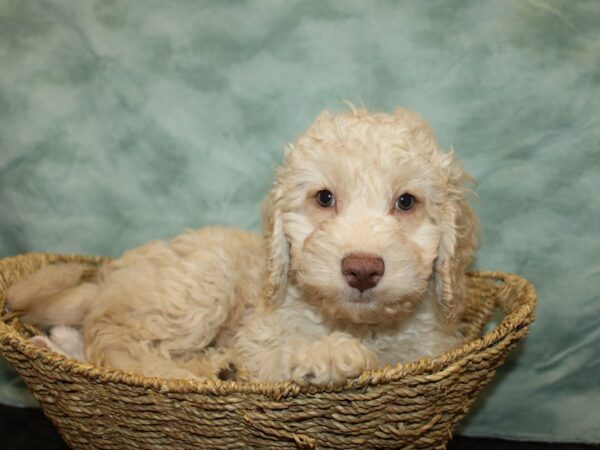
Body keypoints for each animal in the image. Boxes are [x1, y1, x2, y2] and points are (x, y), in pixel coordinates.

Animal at [7, 107, 478, 384]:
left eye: (406, 202)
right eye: (324, 198)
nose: (362, 268)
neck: (362, 325)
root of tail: (108, 280)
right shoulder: (260, 339)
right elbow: (274, 358)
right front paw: (330, 356)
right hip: (201, 284)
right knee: (111, 339)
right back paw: (180, 373)